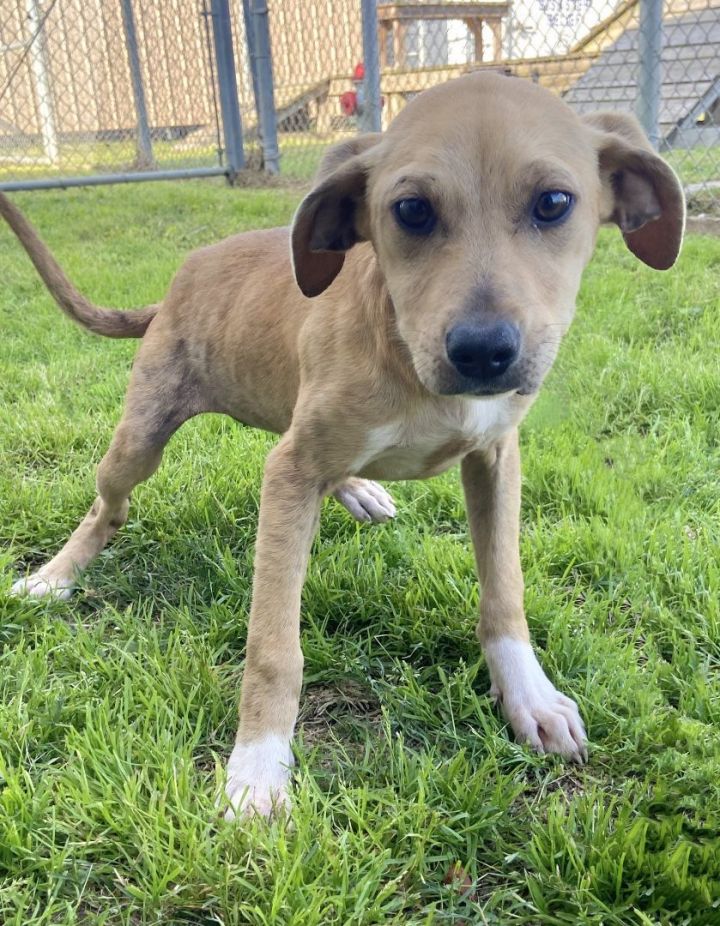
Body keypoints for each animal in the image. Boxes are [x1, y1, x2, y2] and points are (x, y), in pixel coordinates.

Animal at [2, 76, 684, 824]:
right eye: (411, 210)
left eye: (554, 203)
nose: (482, 352)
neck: (403, 350)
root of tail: (177, 285)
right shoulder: (291, 472)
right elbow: (275, 645)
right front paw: (258, 766)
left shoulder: (496, 457)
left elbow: (505, 590)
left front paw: (528, 697)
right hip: (140, 440)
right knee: (110, 507)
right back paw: (54, 576)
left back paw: (359, 489)